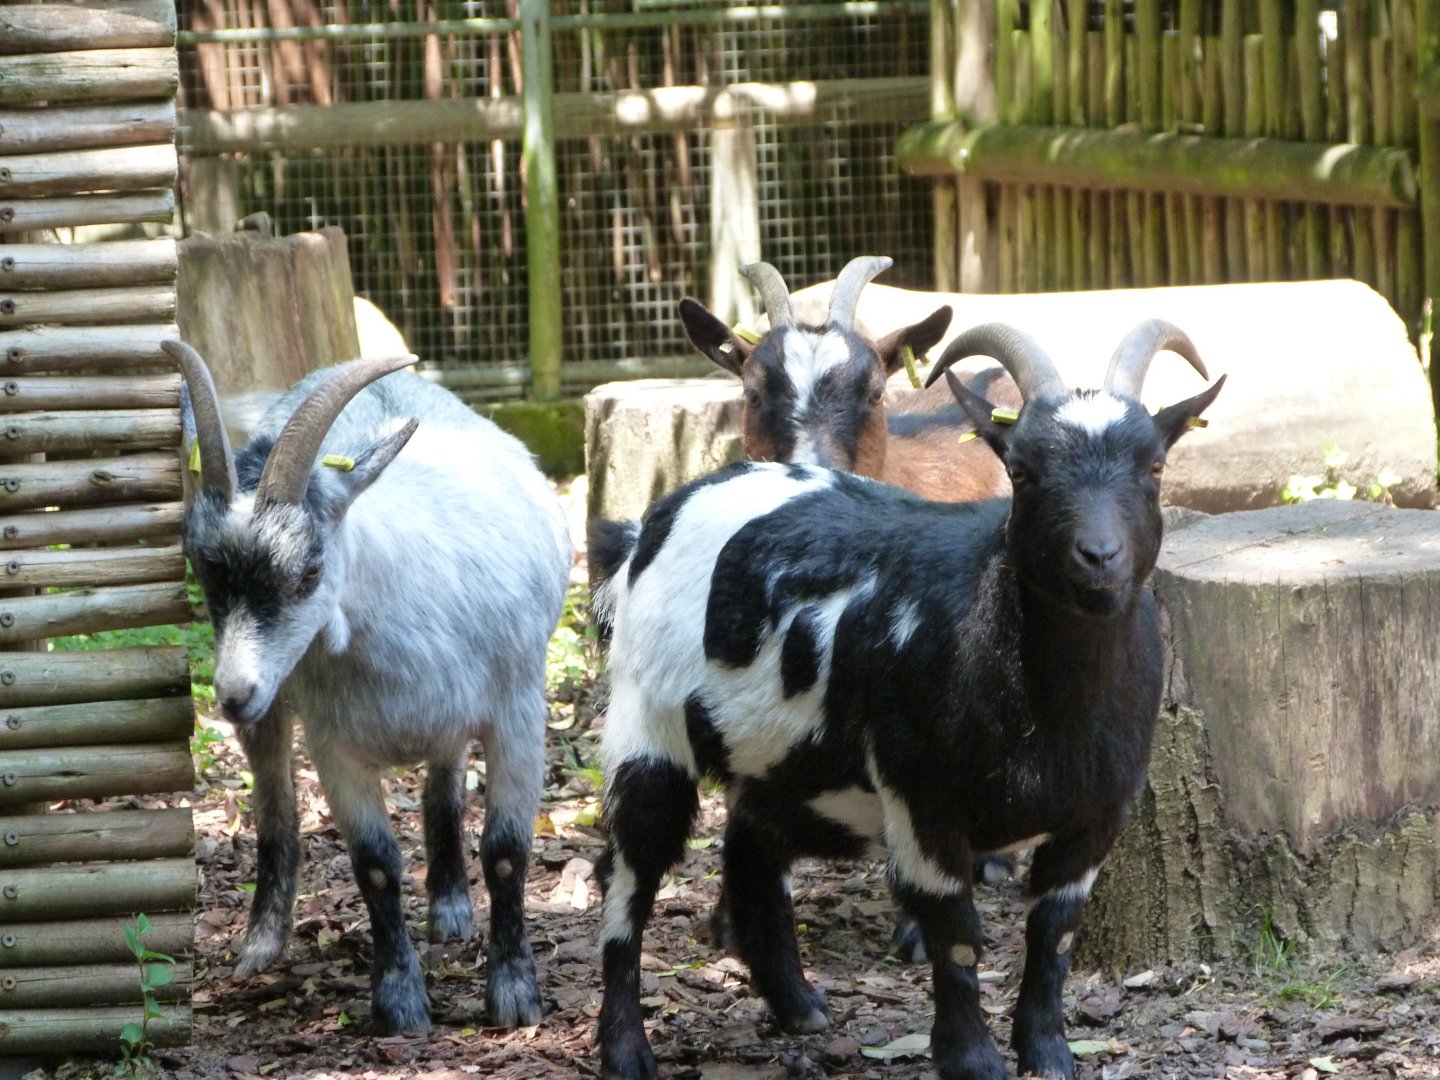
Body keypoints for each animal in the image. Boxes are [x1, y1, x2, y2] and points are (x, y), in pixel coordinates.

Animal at [166, 342, 571, 1034]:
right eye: (205, 574)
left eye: (310, 571)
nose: (235, 695)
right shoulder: (335, 744)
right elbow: (375, 866)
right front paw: (400, 1004)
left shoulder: (518, 710)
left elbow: (506, 852)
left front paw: (515, 997)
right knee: (275, 797)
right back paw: (262, 941)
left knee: (444, 775)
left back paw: (450, 907)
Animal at [589, 320, 1223, 1080]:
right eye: (1023, 471)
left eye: (1154, 467)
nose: (1098, 556)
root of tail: (657, 518)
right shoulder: (924, 801)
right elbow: (954, 932)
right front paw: (974, 1061)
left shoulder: (1098, 811)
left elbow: (1055, 933)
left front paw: (1048, 1055)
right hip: (646, 727)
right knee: (628, 879)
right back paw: (626, 1050)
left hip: (793, 765)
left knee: (750, 843)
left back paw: (797, 1005)